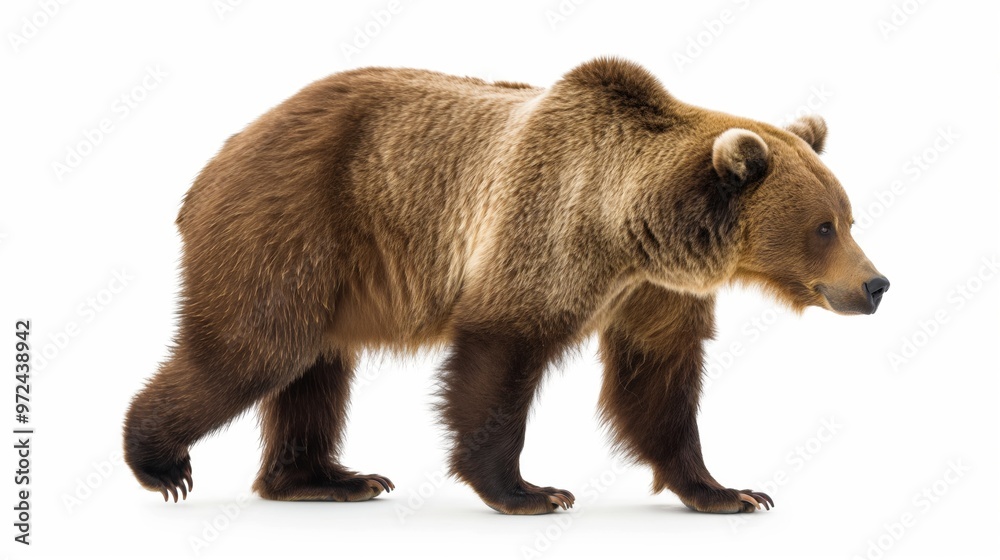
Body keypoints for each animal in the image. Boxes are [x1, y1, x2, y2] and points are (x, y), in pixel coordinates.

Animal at [123, 57, 889, 514]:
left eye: (848, 217)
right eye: (823, 227)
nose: (877, 283)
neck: (632, 231)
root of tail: (217, 157)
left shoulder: (653, 294)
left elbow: (659, 384)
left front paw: (728, 491)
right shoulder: (544, 231)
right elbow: (499, 360)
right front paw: (530, 490)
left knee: (315, 368)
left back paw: (326, 478)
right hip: (294, 219)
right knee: (255, 350)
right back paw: (161, 462)